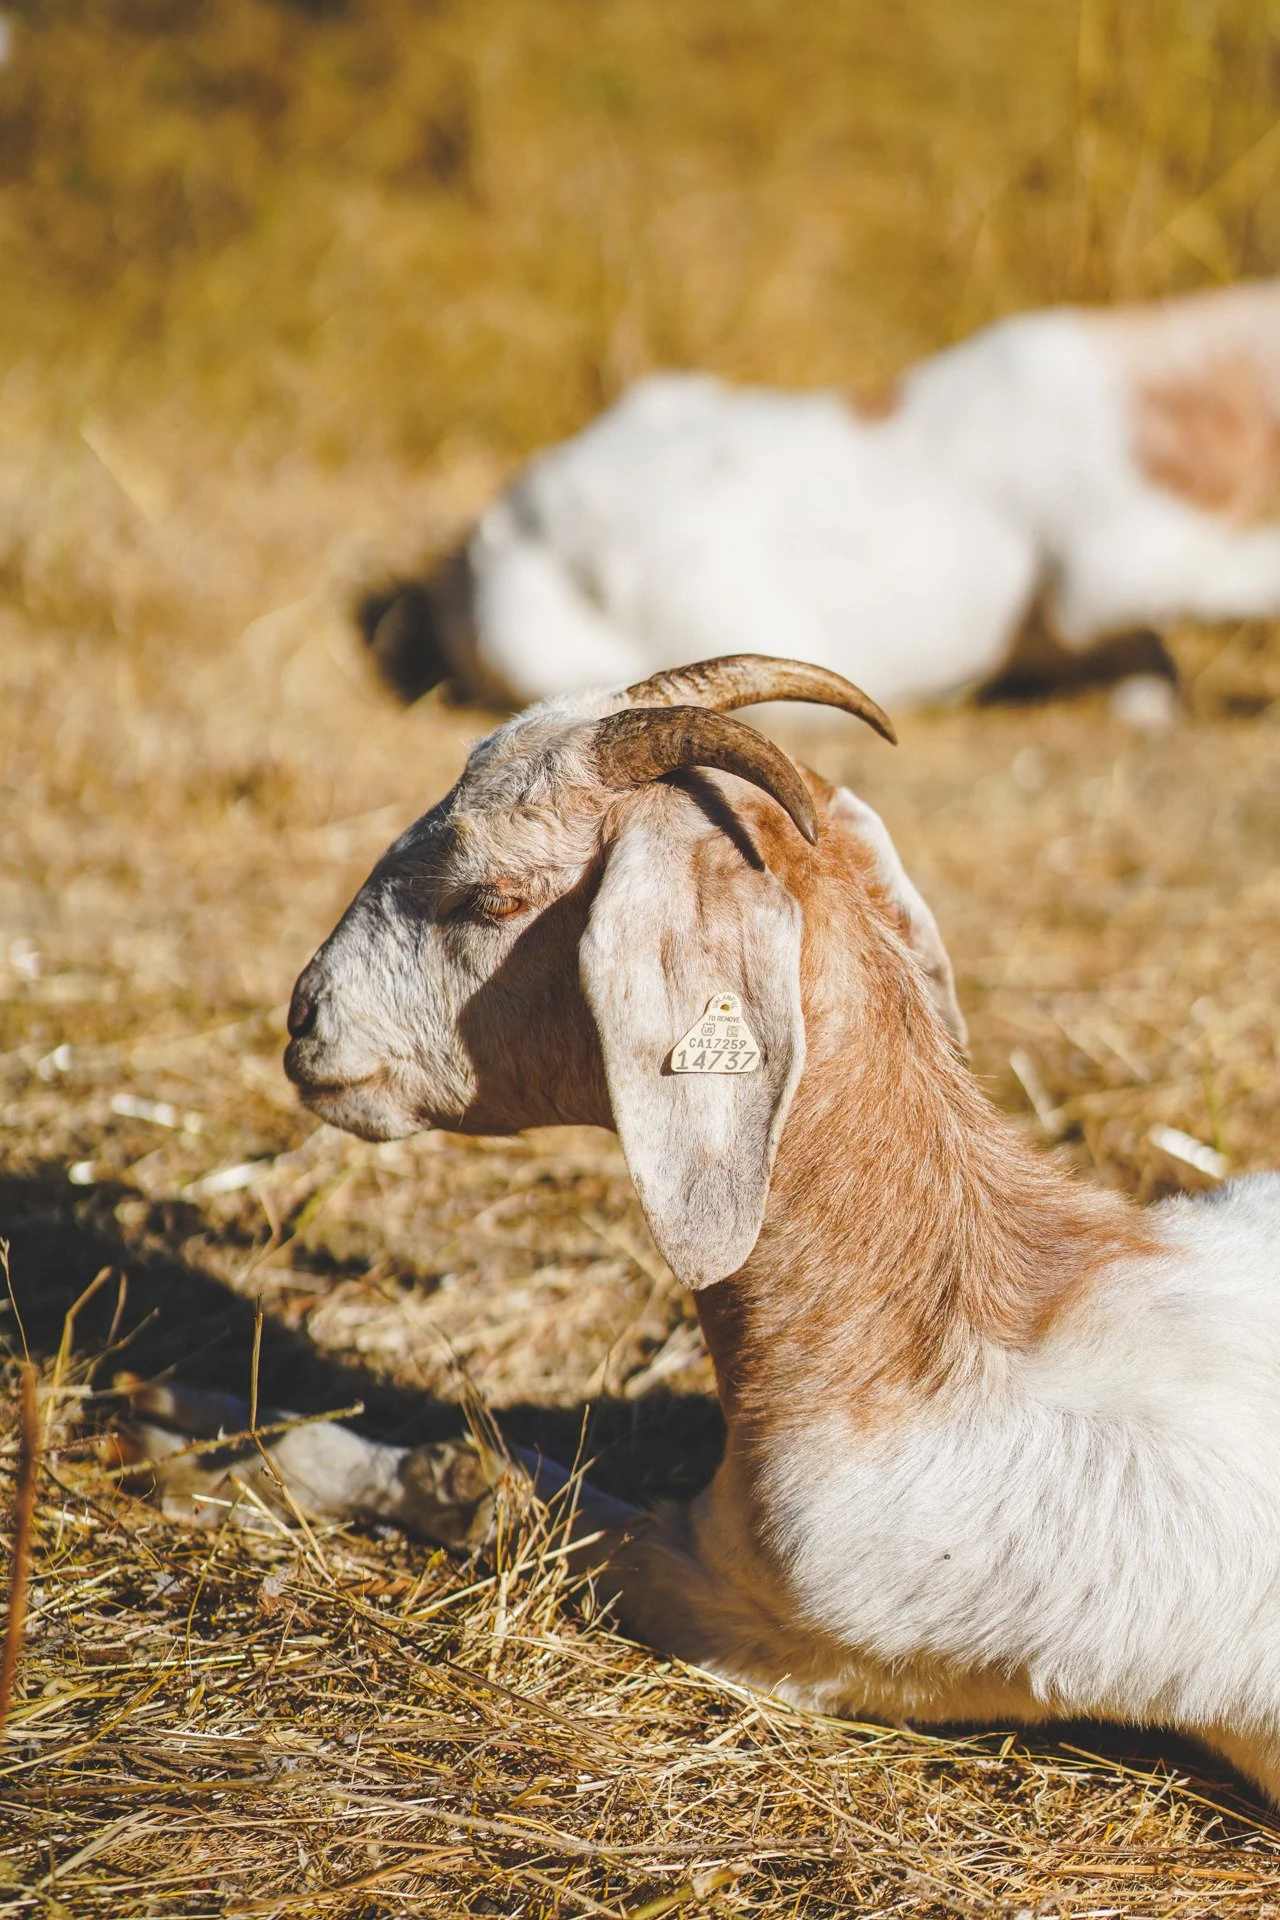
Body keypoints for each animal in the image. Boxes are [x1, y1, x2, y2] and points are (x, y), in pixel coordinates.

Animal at [132, 654, 1280, 1803]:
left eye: (489, 896)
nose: (305, 1022)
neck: (924, 1341)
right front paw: (182, 1399)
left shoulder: (762, 1613)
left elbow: (472, 1478)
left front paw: (207, 1458)